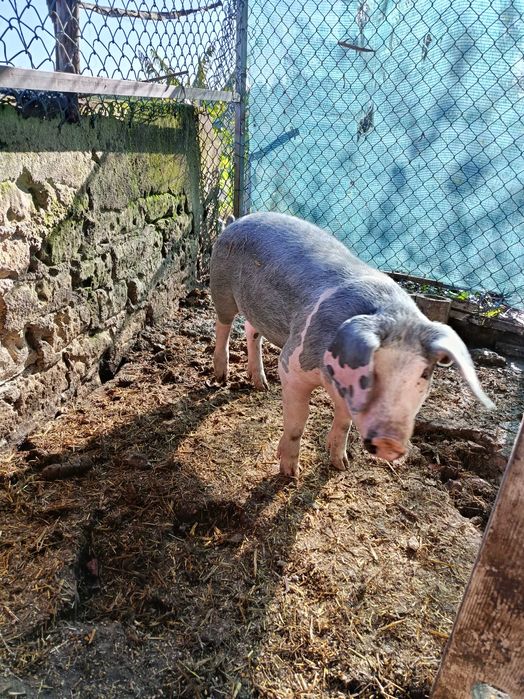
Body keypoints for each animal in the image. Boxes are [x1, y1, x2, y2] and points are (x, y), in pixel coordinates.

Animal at [210, 212, 494, 477]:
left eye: (424, 374)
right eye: (371, 368)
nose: (389, 442)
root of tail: (237, 221)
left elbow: (344, 422)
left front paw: (341, 465)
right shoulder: (292, 365)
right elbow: (298, 421)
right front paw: (290, 473)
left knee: (251, 331)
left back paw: (261, 384)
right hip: (221, 286)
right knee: (223, 325)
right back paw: (222, 376)